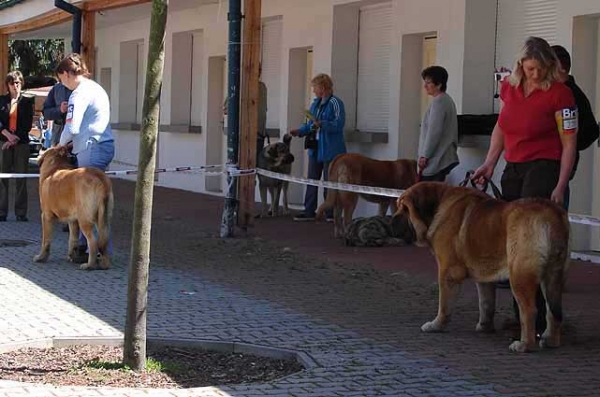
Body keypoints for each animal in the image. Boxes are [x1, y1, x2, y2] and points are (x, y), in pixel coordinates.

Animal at [396, 181, 568, 352]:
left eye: (405, 209)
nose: (392, 221)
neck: (439, 204)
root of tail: (551, 213)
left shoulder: (447, 272)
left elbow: (444, 305)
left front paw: (436, 325)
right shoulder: (485, 277)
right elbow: (486, 303)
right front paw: (485, 327)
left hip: (520, 276)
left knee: (529, 311)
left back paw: (524, 344)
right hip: (553, 275)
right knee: (553, 311)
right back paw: (551, 340)